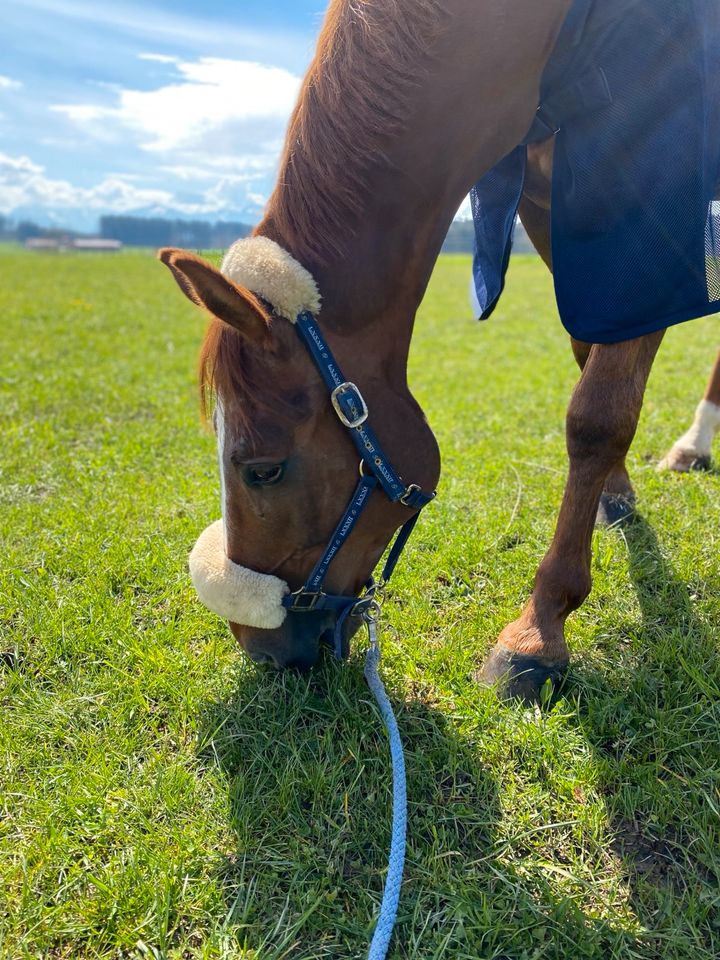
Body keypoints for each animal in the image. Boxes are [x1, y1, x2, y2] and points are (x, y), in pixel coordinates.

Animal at [160, 0, 712, 696]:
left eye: (262, 469)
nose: (261, 648)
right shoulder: (549, 206)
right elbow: (588, 353)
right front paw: (616, 493)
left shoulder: (643, 186)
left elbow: (597, 416)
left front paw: (539, 630)